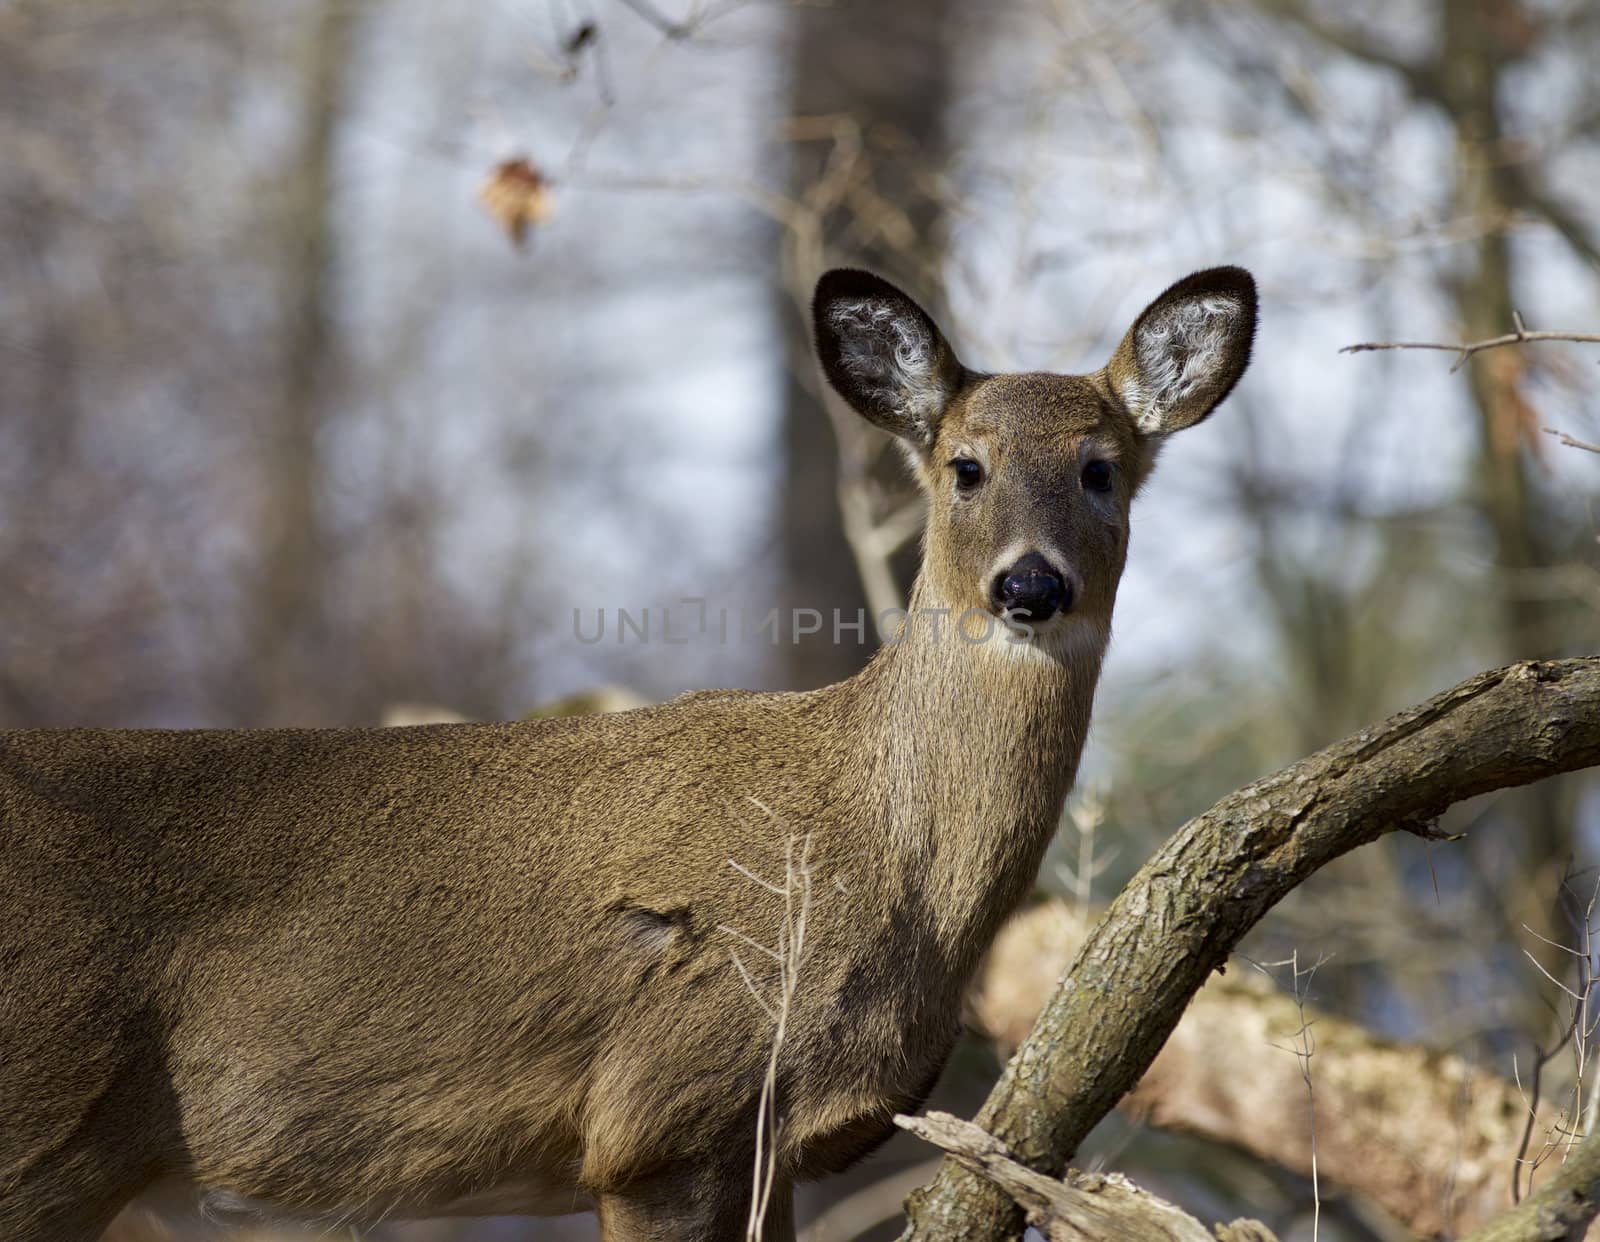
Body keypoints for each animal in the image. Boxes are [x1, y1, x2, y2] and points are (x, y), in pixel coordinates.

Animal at [0, 264, 1254, 1242]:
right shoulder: (662, 1116)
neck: (877, 862)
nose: (1030, 586)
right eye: (964, 466)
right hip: (40, 1123)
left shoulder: (771, 1149)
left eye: (1101, 468)